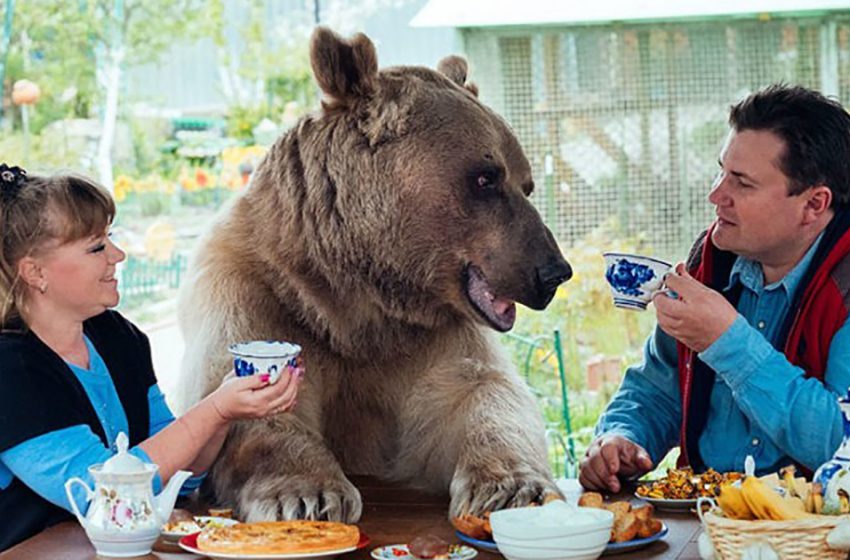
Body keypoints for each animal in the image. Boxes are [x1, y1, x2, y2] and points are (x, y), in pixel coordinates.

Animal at [176, 27, 568, 524]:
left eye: (526, 183)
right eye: (485, 177)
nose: (553, 271)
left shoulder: (429, 338)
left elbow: (480, 394)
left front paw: (513, 488)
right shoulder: (255, 292)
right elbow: (248, 400)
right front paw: (308, 494)